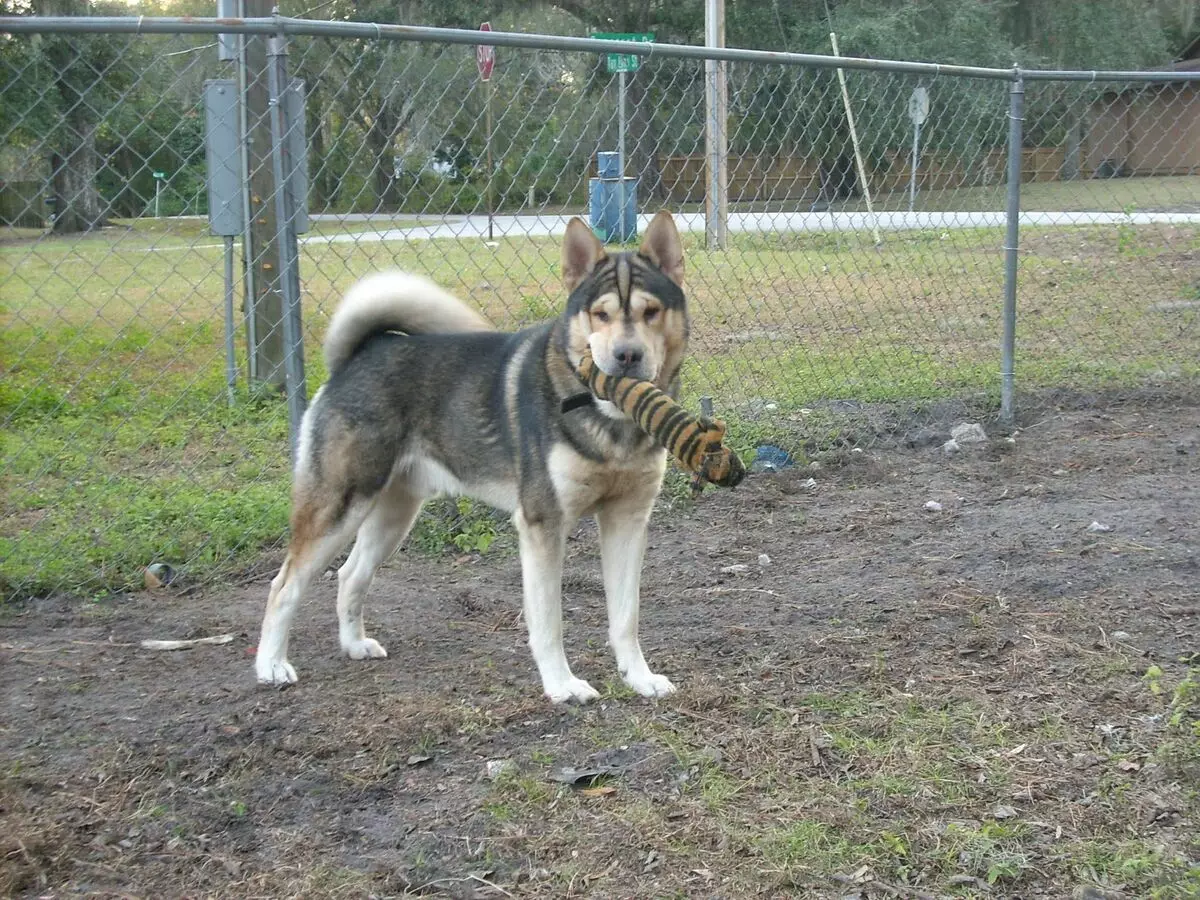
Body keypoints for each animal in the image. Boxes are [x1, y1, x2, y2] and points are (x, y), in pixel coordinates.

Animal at [258, 211, 691, 705]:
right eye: (600, 314)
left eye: (650, 312)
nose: (626, 356)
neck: (611, 422)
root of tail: (357, 356)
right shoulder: (543, 525)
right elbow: (550, 622)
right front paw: (562, 686)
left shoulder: (628, 520)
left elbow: (626, 616)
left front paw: (639, 677)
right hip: (339, 507)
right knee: (284, 585)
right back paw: (271, 665)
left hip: (392, 515)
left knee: (351, 576)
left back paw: (353, 645)